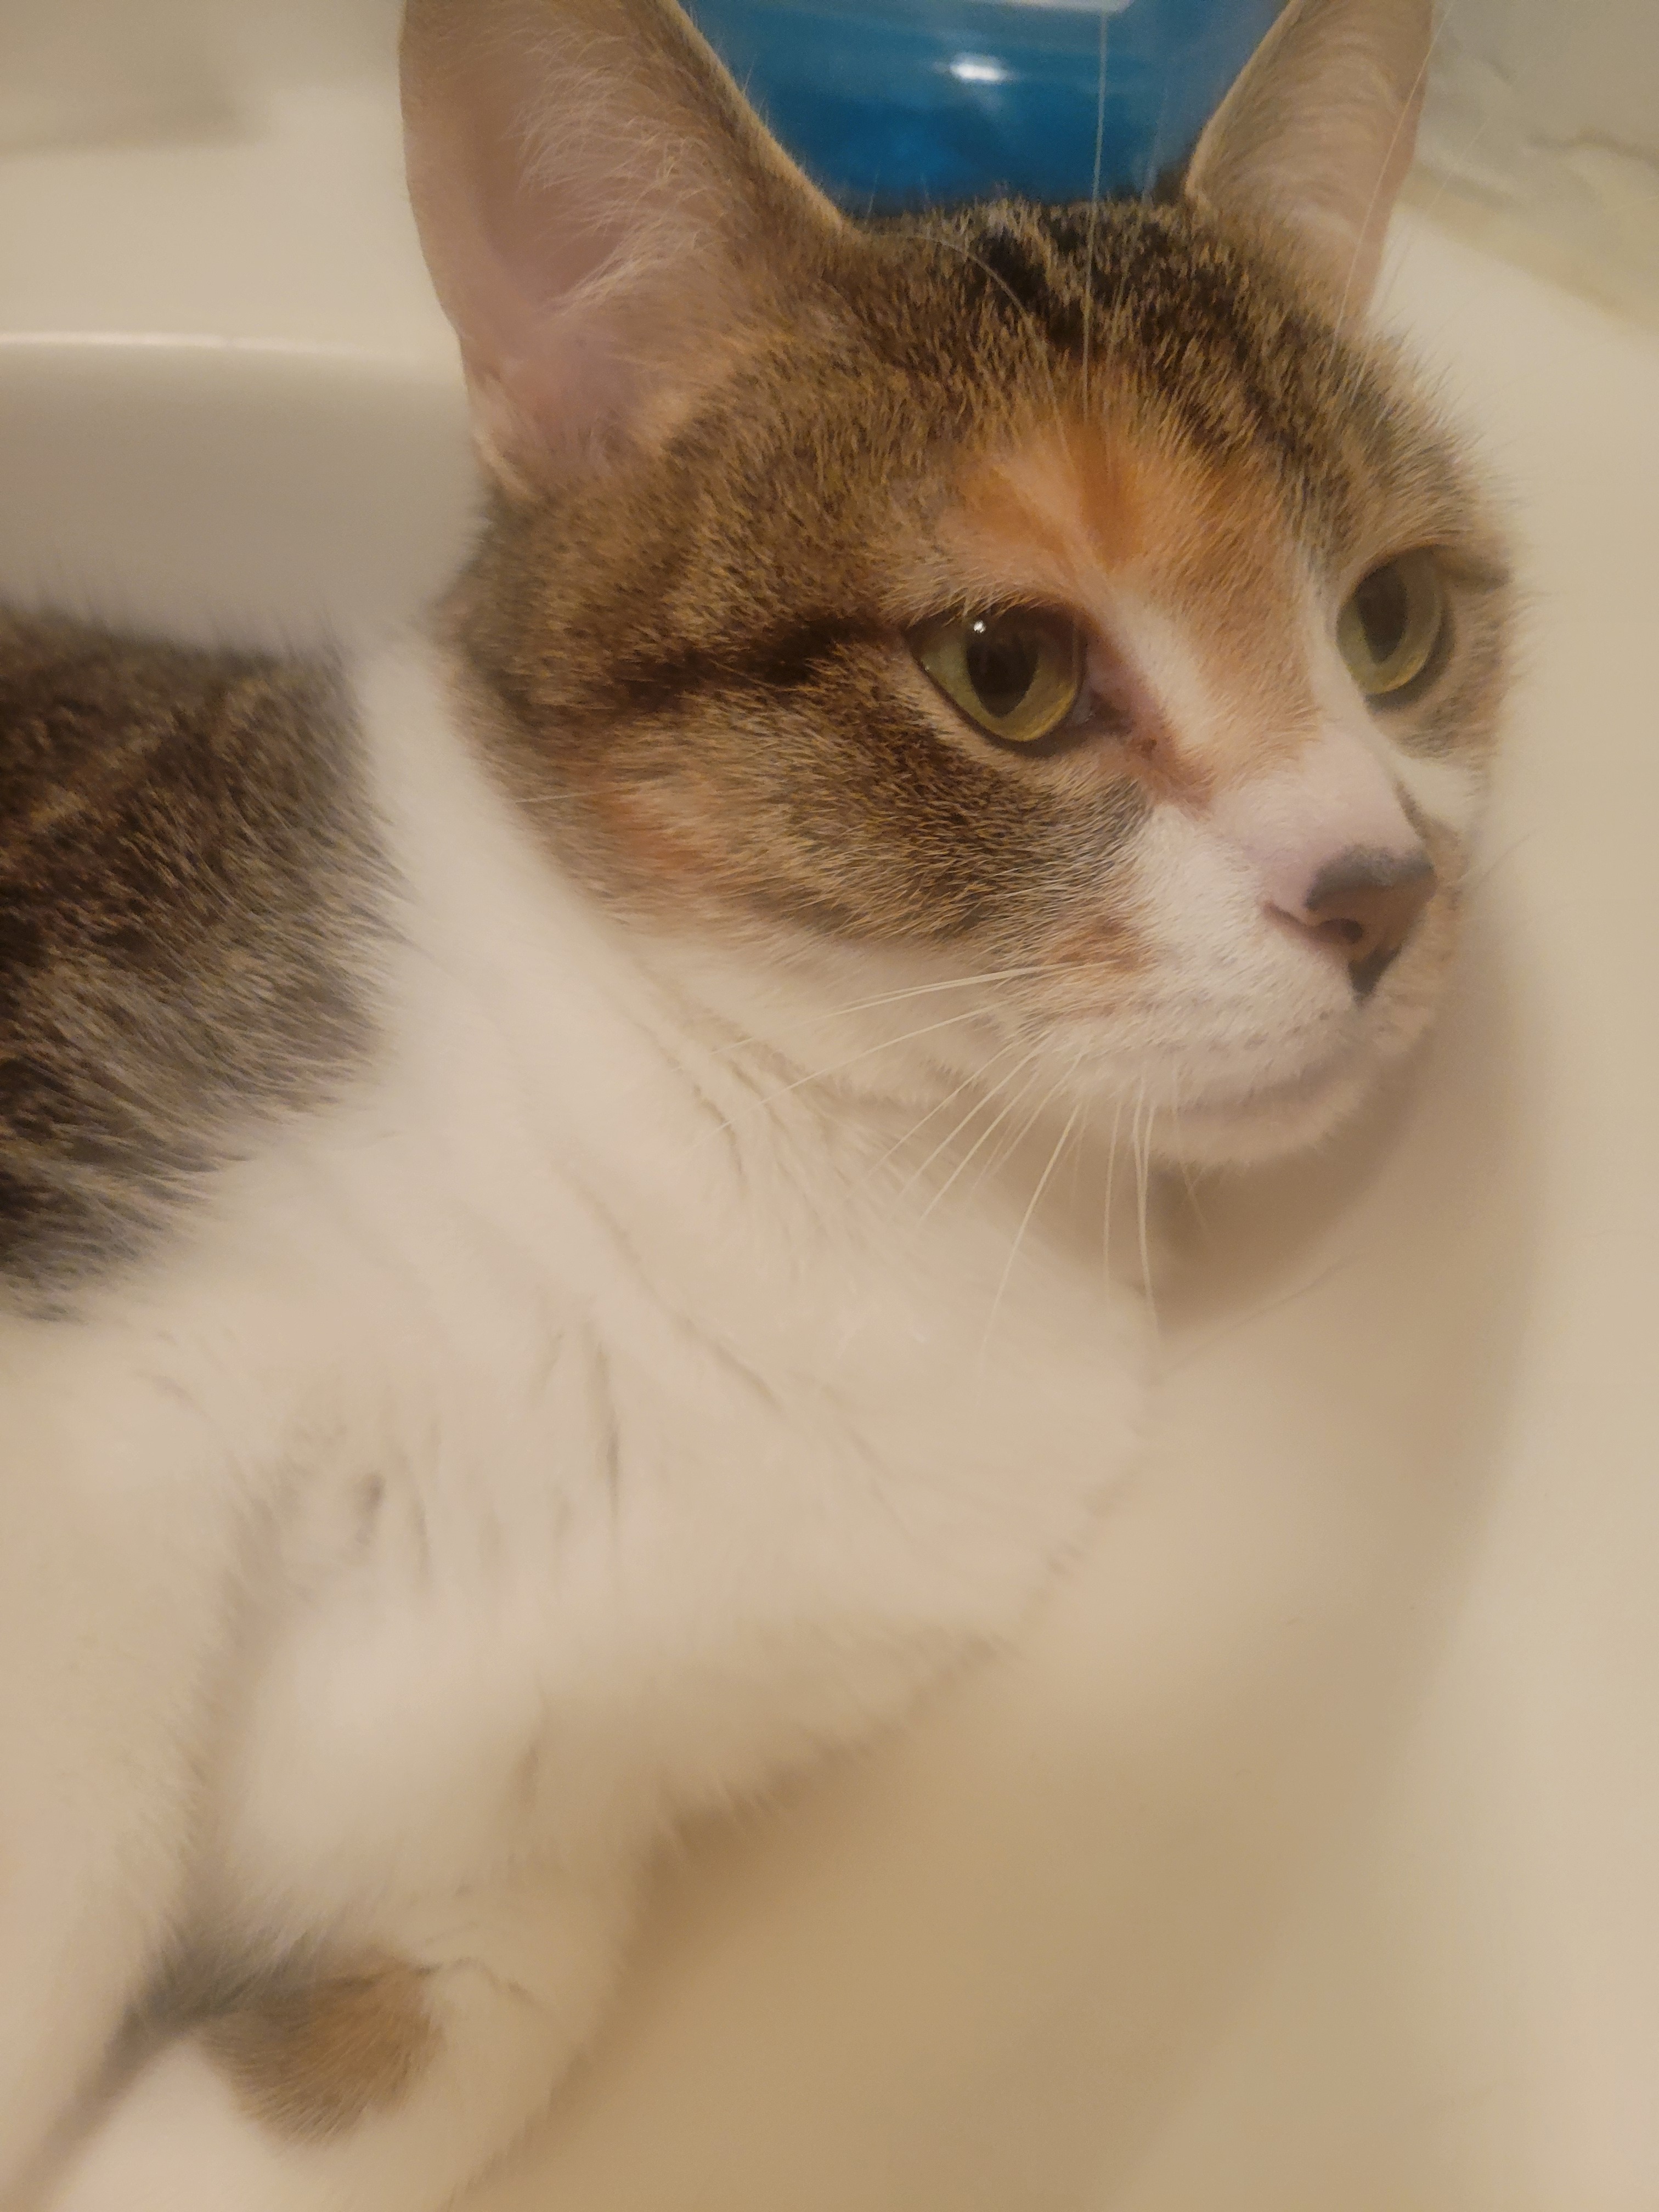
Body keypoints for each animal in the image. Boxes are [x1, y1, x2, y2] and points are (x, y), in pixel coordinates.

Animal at [0, 1, 1511, 2206]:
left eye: (1397, 628)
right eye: (1006, 667)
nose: (1384, 893)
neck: (806, 1167)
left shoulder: (507, 1851)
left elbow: (428, 2038)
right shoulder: (86, 1397)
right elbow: (69, 1857)